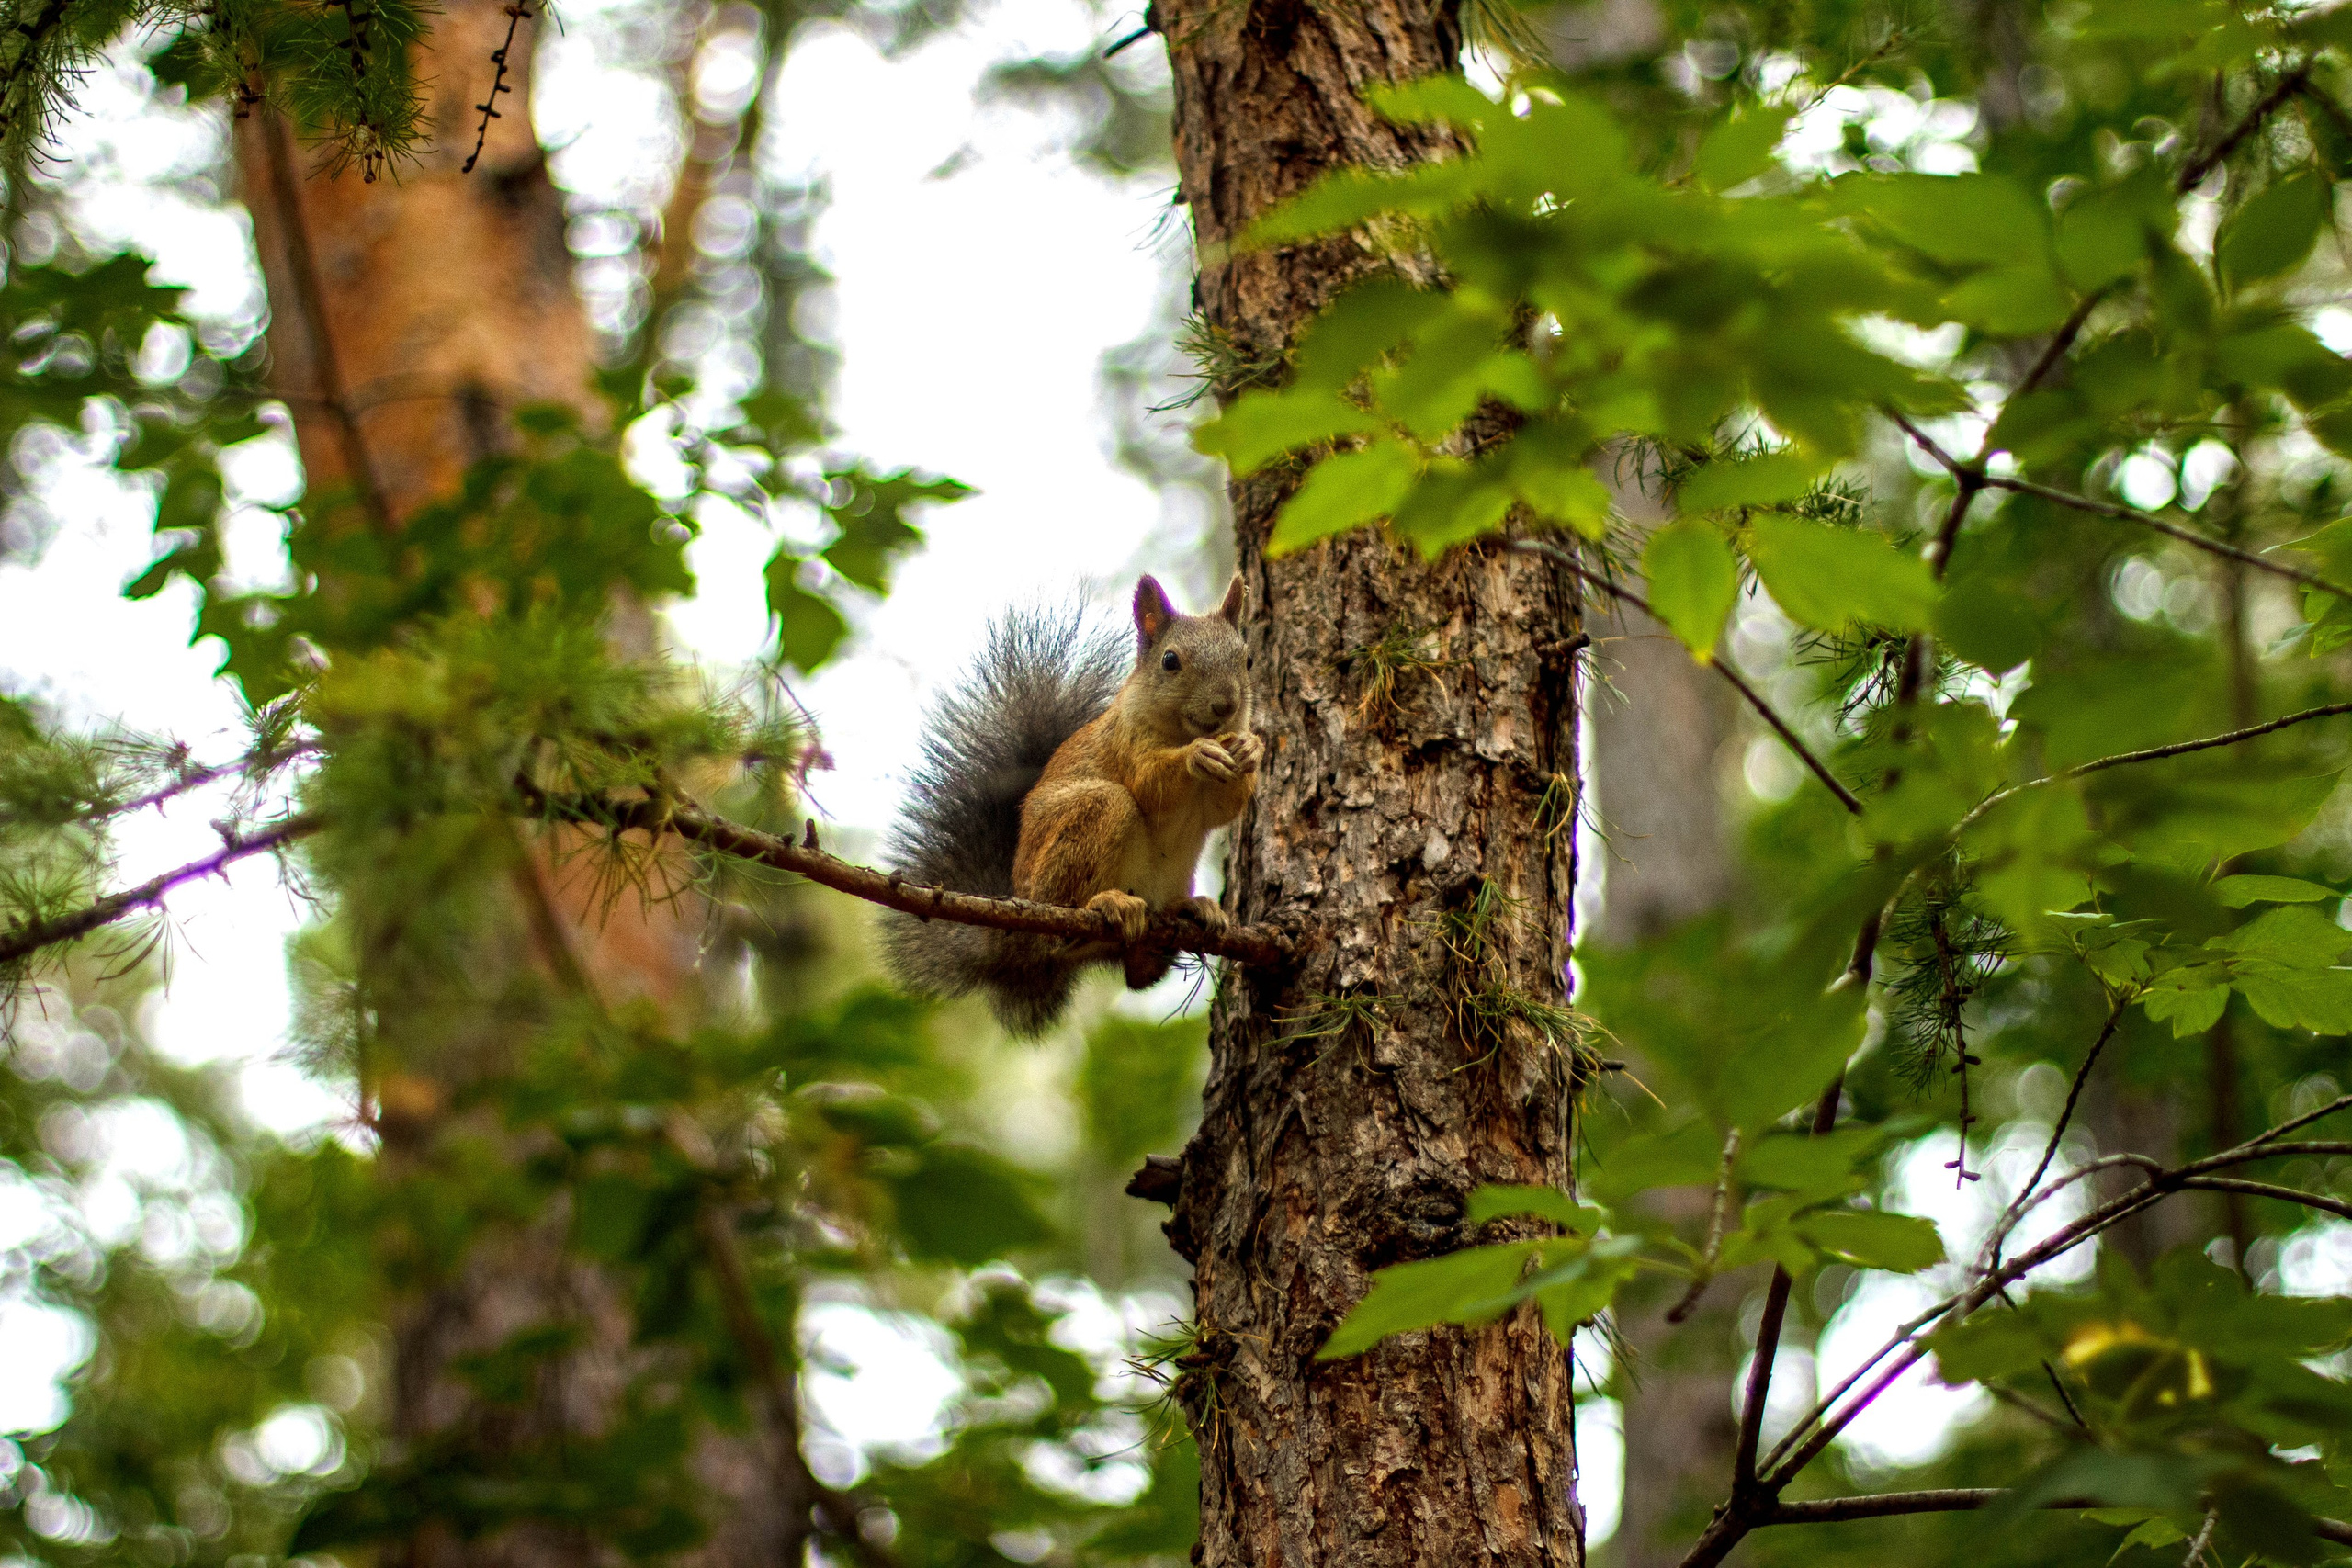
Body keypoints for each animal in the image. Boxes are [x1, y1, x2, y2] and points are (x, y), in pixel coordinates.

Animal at [880, 574, 1262, 1036]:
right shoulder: (1125, 746)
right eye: (1170, 661)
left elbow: (1223, 810)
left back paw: (1189, 911)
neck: (1180, 730)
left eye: (1247, 659)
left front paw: (1252, 749)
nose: (1226, 705)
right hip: (1090, 825)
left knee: (1137, 975)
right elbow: (1151, 785)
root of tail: (1015, 934)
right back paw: (1106, 904)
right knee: (1063, 925)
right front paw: (1197, 756)